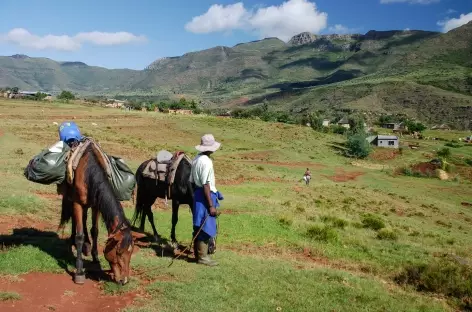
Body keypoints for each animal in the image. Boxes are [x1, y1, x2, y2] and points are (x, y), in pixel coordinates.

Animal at [60, 144, 143, 286]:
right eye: (118, 252)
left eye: (131, 251)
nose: (124, 280)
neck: (89, 171)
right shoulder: (77, 203)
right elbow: (79, 235)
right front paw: (79, 272)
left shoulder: (96, 204)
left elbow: (95, 231)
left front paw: (95, 257)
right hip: (71, 199)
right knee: (75, 221)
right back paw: (73, 243)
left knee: (83, 219)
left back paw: (86, 246)